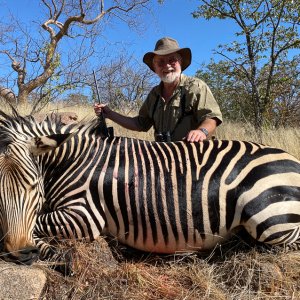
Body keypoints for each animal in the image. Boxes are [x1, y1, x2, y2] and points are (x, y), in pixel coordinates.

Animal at [0, 109, 298, 268]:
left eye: (34, 187)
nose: (22, 254)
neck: (72, 161)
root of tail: (293, 159)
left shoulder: (84, 216)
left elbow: (38, 222)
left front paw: (54, 254)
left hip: (270, 219)